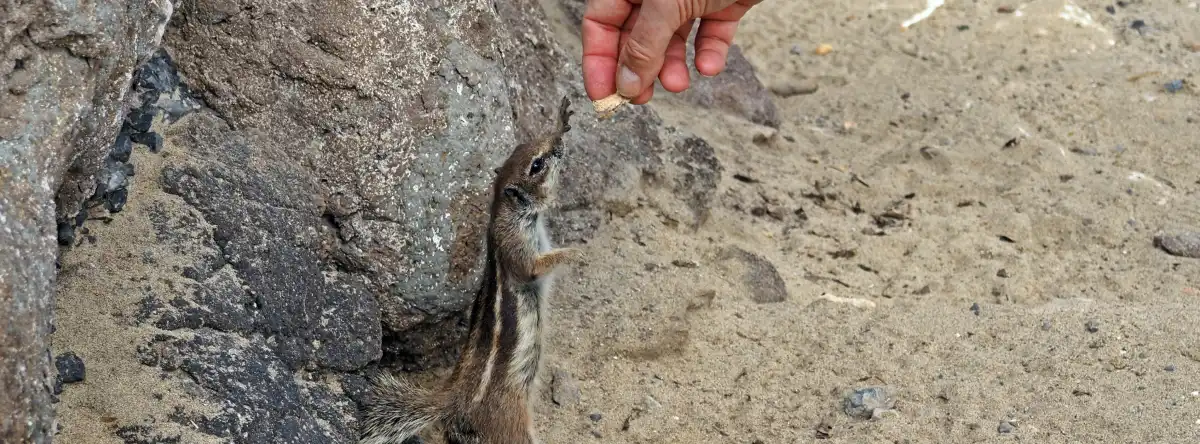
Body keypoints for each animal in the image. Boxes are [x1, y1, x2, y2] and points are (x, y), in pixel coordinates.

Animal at [359, 96, 579, 444]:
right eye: (536, 165)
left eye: (523, 145)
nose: (557, 144)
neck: (511, 211)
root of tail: (453, 397)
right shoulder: (515, 244)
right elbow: (533, 267)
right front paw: (576, 252)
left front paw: (561, 122)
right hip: (511, 421)